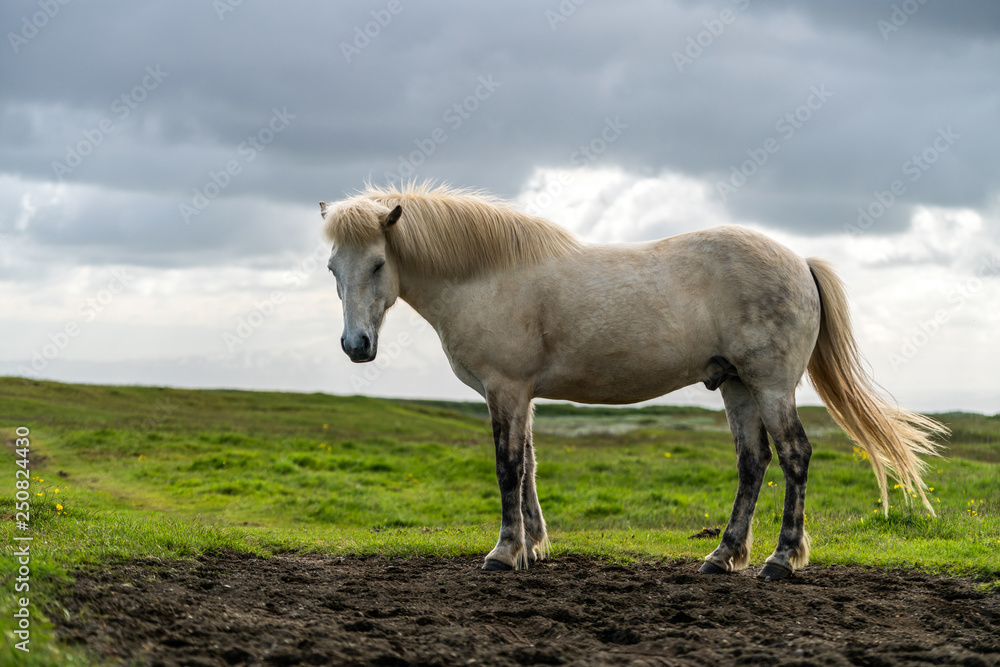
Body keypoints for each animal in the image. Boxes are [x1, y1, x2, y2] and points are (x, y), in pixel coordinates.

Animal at [322, 183, 944, 580]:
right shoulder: (523, 396)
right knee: (753, 462)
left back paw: (781, 560)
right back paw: (722, 556)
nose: (356, 347)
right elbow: (530, 466)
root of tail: (799, 262)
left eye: (377, 264)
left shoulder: (506, 390)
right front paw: (535, 547)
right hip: (738, 387)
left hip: (770, 386)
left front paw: (505, 552)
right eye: (333, 267)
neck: (487, 275)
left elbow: (508, 467)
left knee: (794, 456)